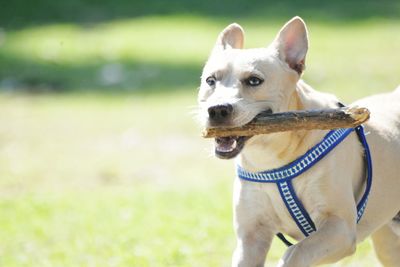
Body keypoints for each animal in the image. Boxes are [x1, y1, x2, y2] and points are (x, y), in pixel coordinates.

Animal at [198, 16, 400, 267]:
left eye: (254, 81)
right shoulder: (250, 237)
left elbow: (295, 252)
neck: (271, 155)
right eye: (210, 80)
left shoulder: (340, 227)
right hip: (388, 240)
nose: (217, 110)